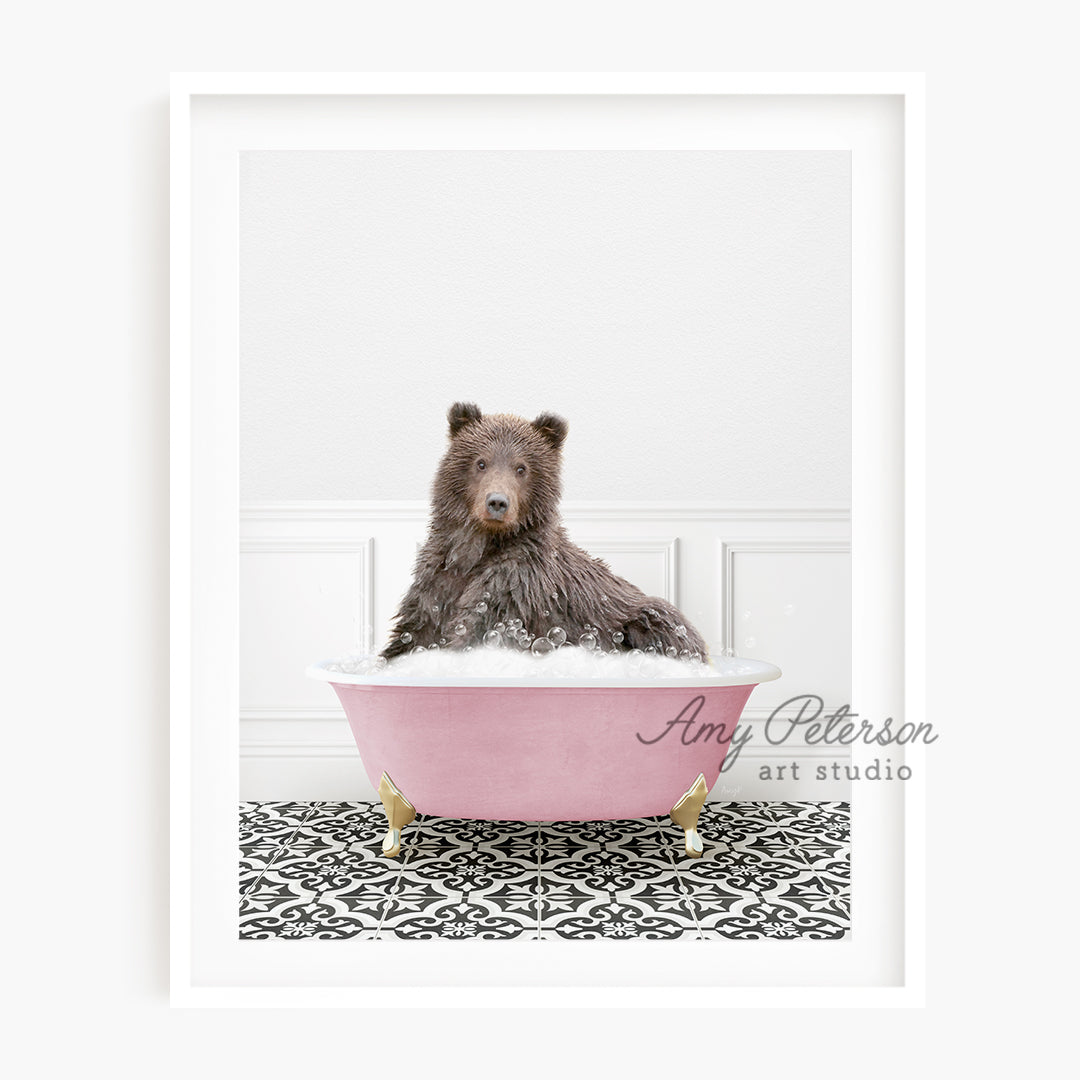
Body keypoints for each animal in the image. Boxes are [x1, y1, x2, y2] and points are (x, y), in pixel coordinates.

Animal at [380, 403, 708, 660]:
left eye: (521, 468)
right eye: (481, 462)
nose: (497, 502)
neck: (480, 547)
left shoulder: (516, 586)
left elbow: (477, 629)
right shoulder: (437, 581)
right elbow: (412, 634)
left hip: (645, 617)